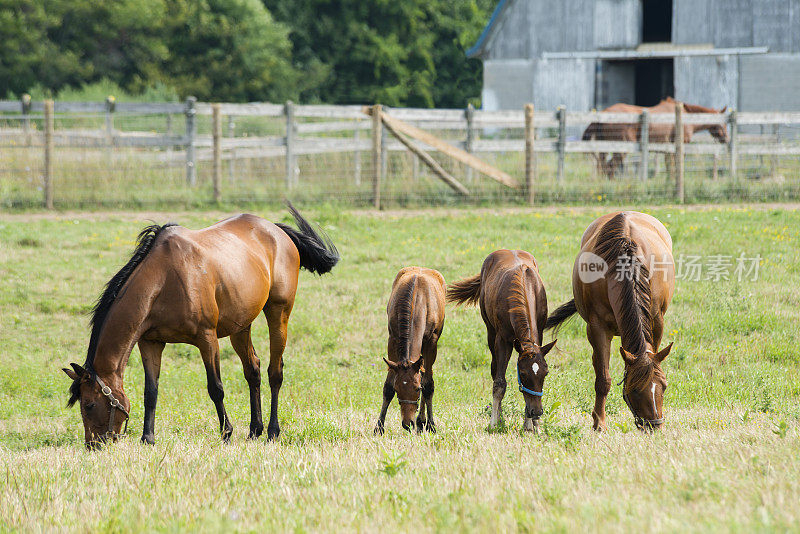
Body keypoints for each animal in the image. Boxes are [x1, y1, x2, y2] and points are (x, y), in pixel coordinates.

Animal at [62, 204, 338, 448]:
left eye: (89, 404)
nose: (93, 445)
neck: (164, 280)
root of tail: (276, 230)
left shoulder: (207, 338)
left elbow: (215, 388)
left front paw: (226, 433)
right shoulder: (150, 342)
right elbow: (151, 391)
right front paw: (147, 438)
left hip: (279, 313)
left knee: (275, 372)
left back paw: (272, 431)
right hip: (241, 326)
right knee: (253, 370)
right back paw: (254, 430)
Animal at [374, 268, 444, 436]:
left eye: (417, 389)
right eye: (397, 388)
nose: (407, 423)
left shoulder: (431, 342)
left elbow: (428, 385)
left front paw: (431, 425)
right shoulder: (392, 339)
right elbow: (387, 387)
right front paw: (379, 427)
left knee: (426, 375)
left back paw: (422, 421)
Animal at [450, 250, 556, 432]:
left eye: (546, 373)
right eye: (523, 373)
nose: (536, 412)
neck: (524, 284)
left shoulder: (539, 335)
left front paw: (531, 425)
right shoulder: (502, 340)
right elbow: (499, 383)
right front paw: (494, 422)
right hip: (490, 333)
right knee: (495, 372)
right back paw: (499, 417)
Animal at [544, 211, 676, 434]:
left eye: (664, 386)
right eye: (635, 389)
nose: (654, 427)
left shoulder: (657, 322)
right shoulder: (597, 328)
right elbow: (603, 379)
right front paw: (599, 422)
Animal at [580, 97, 732, 179]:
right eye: (722, 122)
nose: (726, 138)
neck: (686, 117)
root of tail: (603, 114)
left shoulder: (667, 148)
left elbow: (669, 166)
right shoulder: (680, 145)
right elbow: (675, 165)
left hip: (606, 147)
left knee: (603, 166)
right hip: (621, 149)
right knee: (610, 166)